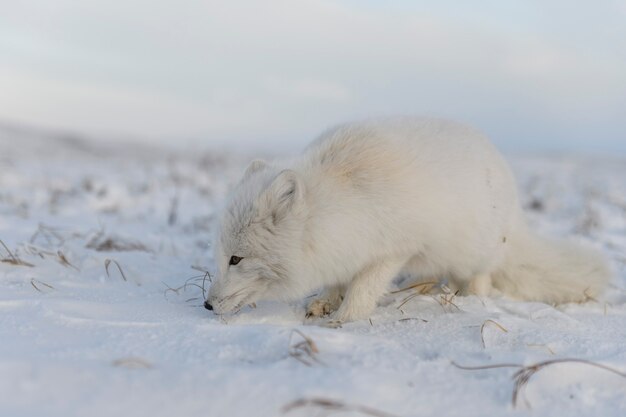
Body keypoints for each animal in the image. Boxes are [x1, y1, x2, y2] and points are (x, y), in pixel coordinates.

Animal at [205, 116, 608, 322]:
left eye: (236, 259)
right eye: (222, 255)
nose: (207, 306)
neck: (346, 199)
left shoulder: (393, 249)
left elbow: (364, 288)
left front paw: (344, 319)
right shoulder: (342, 249)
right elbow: (336, 280)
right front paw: (324, 301)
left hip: (476, 250)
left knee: (481, 278)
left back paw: (466, 297)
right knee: (435, 273)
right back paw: (424, 289)